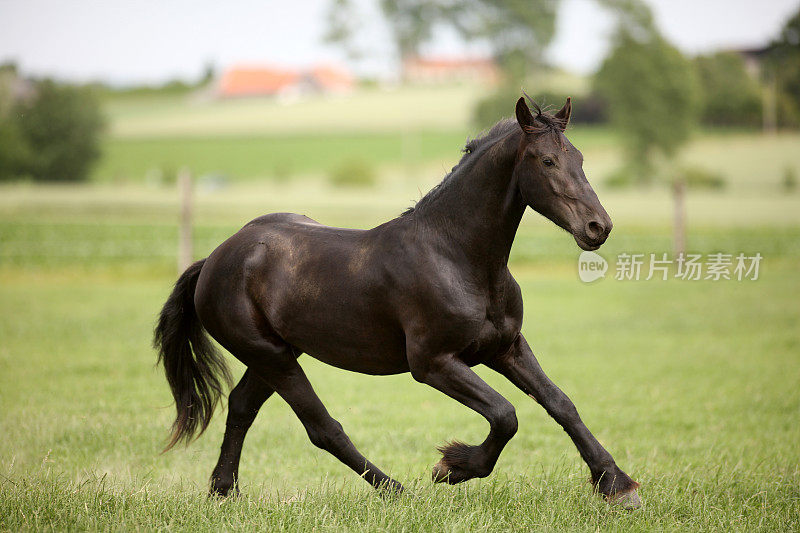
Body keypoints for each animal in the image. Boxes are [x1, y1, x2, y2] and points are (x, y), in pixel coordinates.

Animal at [155, 94, 644, 508]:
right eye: (547, 160)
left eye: (579, 158)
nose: (599, 227)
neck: (456, 257)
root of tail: (216, 258)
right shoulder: (432, 363)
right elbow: (506, 414)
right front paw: (451, 467)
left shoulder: (506, 347)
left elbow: (560, 404)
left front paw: (617, 486)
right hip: (271, 356)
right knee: (322, 427)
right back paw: (396, 490)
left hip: (275, 353)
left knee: (242, 407)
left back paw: (224, 492)